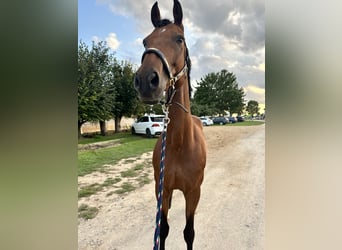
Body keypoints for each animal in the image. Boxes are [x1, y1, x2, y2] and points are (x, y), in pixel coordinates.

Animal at [134, 0, 207, 249]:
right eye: (146, 41)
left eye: (179, 39)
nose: (146, 80)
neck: (179, 143)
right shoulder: (162, 190)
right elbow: (162, 229)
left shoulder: (193, 193)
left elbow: (189, 232)